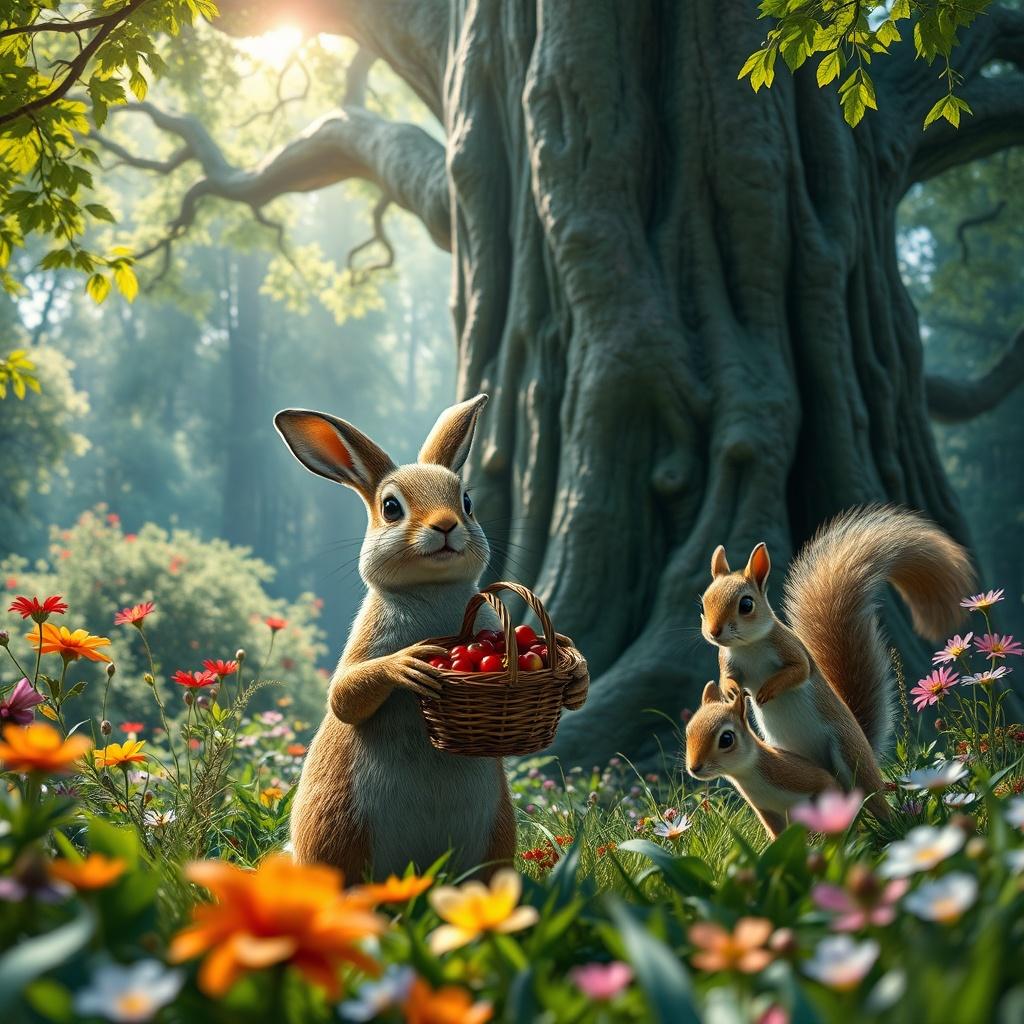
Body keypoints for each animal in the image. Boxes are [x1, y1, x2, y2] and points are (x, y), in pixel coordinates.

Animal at [275, 394, 588, 882]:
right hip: (340, 832)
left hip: (494, 833)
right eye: (390, 507)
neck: (432, 589)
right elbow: (345, 696)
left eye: (467, 500)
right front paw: (407, 664)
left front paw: (577, 680)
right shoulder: (364, 648)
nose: (445, 525)